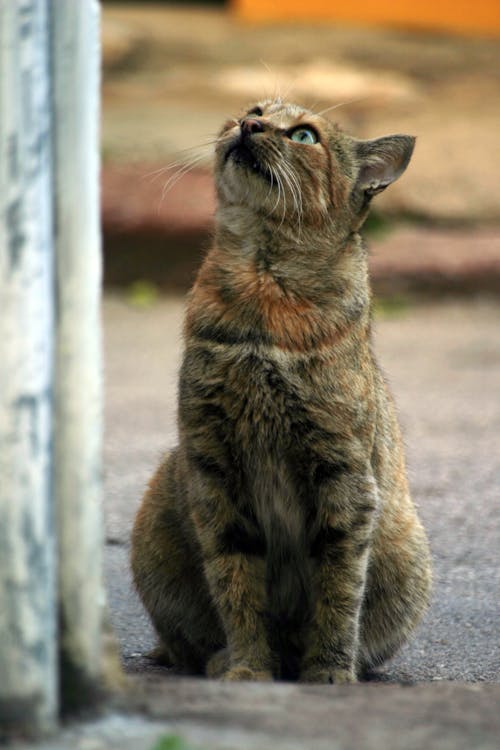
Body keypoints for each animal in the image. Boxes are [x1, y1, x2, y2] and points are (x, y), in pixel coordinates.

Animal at [131, 100, 432, 688]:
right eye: (254, 110)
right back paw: (221, 658)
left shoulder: (343, 476)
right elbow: (235, 584)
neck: (261, 279)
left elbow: (339, 589)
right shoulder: (213, 469)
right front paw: (249, 666)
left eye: (304, 136)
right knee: (180, 644)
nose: (249, 125)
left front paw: (330, 670)